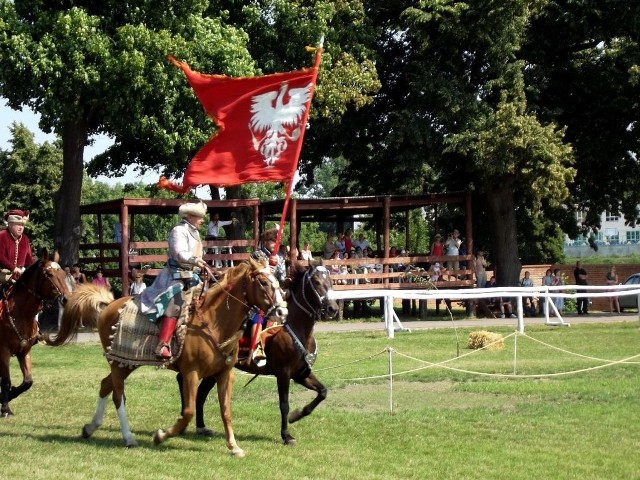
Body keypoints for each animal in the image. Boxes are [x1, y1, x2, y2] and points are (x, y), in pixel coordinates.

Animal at [0, 255, 70, 416]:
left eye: (63, 274)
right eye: (49, 274)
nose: (66, 299)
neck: (19, 312)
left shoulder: (24, 351)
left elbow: (28, 381)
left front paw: (11, 394)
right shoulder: (4, 351)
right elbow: (6, 380)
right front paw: (6, 409)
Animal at [48, 256, 288, 456]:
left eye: (277, 281)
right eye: (263, 282)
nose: (282, 311)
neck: (213, 322)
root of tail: (109, 306)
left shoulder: (225, 374)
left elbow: (226, 411)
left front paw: (233, 446)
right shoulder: (191, 373)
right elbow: (188, 411)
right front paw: (160, 436)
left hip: (126, 363)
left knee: (105, 385)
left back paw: (90, 428)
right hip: (118, 363)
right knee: (117, 395)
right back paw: (128, 437)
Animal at [179, 260, 340, 444]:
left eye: (330, 281)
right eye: (316, 282)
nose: (332, 308)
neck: (295, 327)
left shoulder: (301, 373)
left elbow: (323, 392)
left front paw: (297, 415)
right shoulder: (283, 373)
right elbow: (284, 404)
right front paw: (286, 435)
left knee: (199, 393)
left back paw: (200, 426)